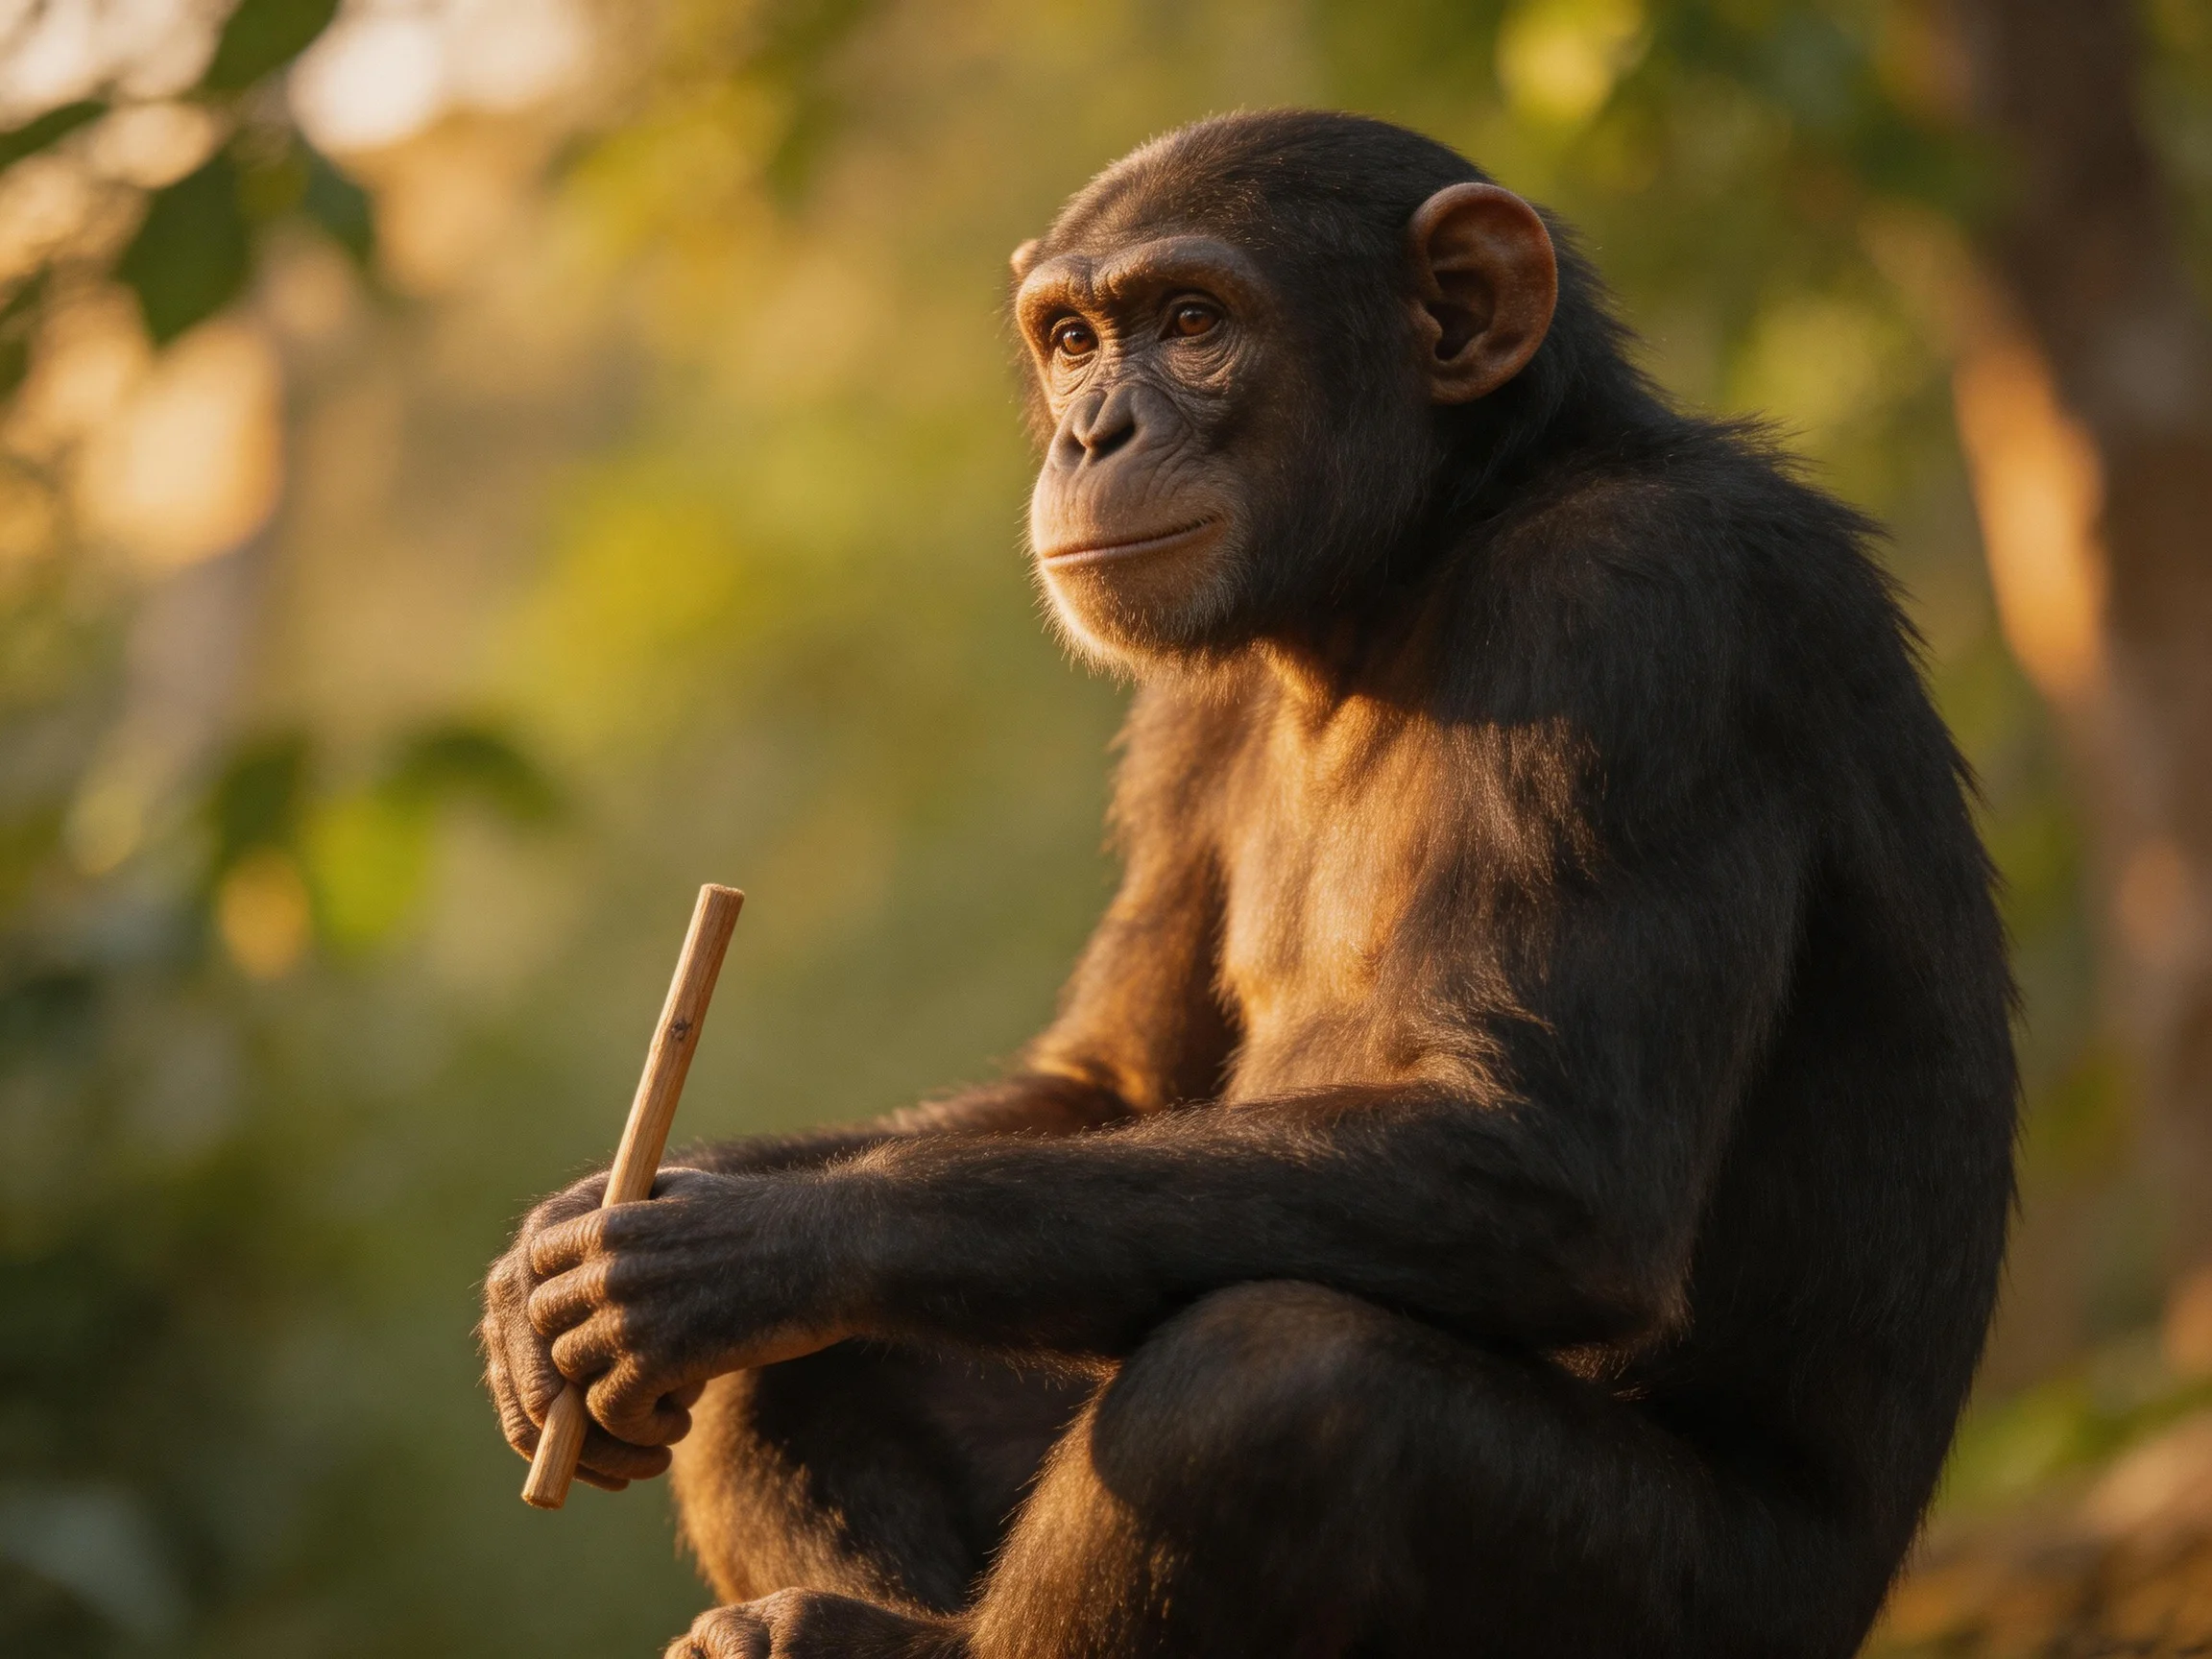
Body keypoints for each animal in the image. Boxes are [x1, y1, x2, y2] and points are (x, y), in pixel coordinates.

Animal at [479, 109, 2017, 1658]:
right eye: (1074, 340)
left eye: (1193, 323)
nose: (1096, 430)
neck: (1411, 567)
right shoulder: (1183, 722)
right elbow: (1120, 1081)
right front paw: (577, 1235)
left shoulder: (1646, 610)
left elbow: (1547, 1145)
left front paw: (747, 1243)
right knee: (794, 1377)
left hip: (1705, 1606)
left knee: (1277, 1378)